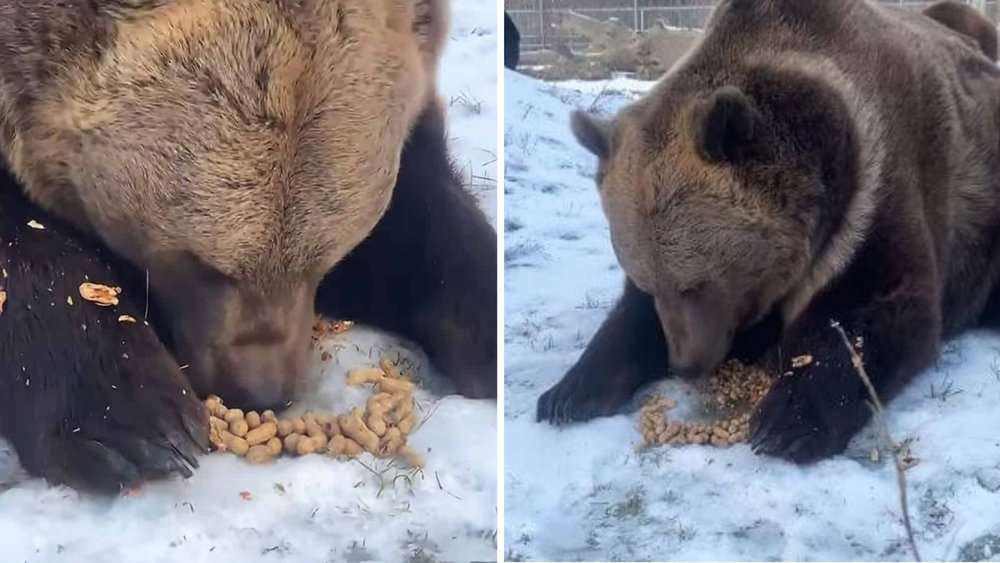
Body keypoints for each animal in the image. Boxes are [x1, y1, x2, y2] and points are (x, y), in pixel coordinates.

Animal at [538, 0, 1000, 464]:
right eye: (650, 282)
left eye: (696, 285)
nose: (685, 364)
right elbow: (627, 319)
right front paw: (566, 394)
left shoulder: (878, 185)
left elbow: (876, 308)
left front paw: (784, 422)